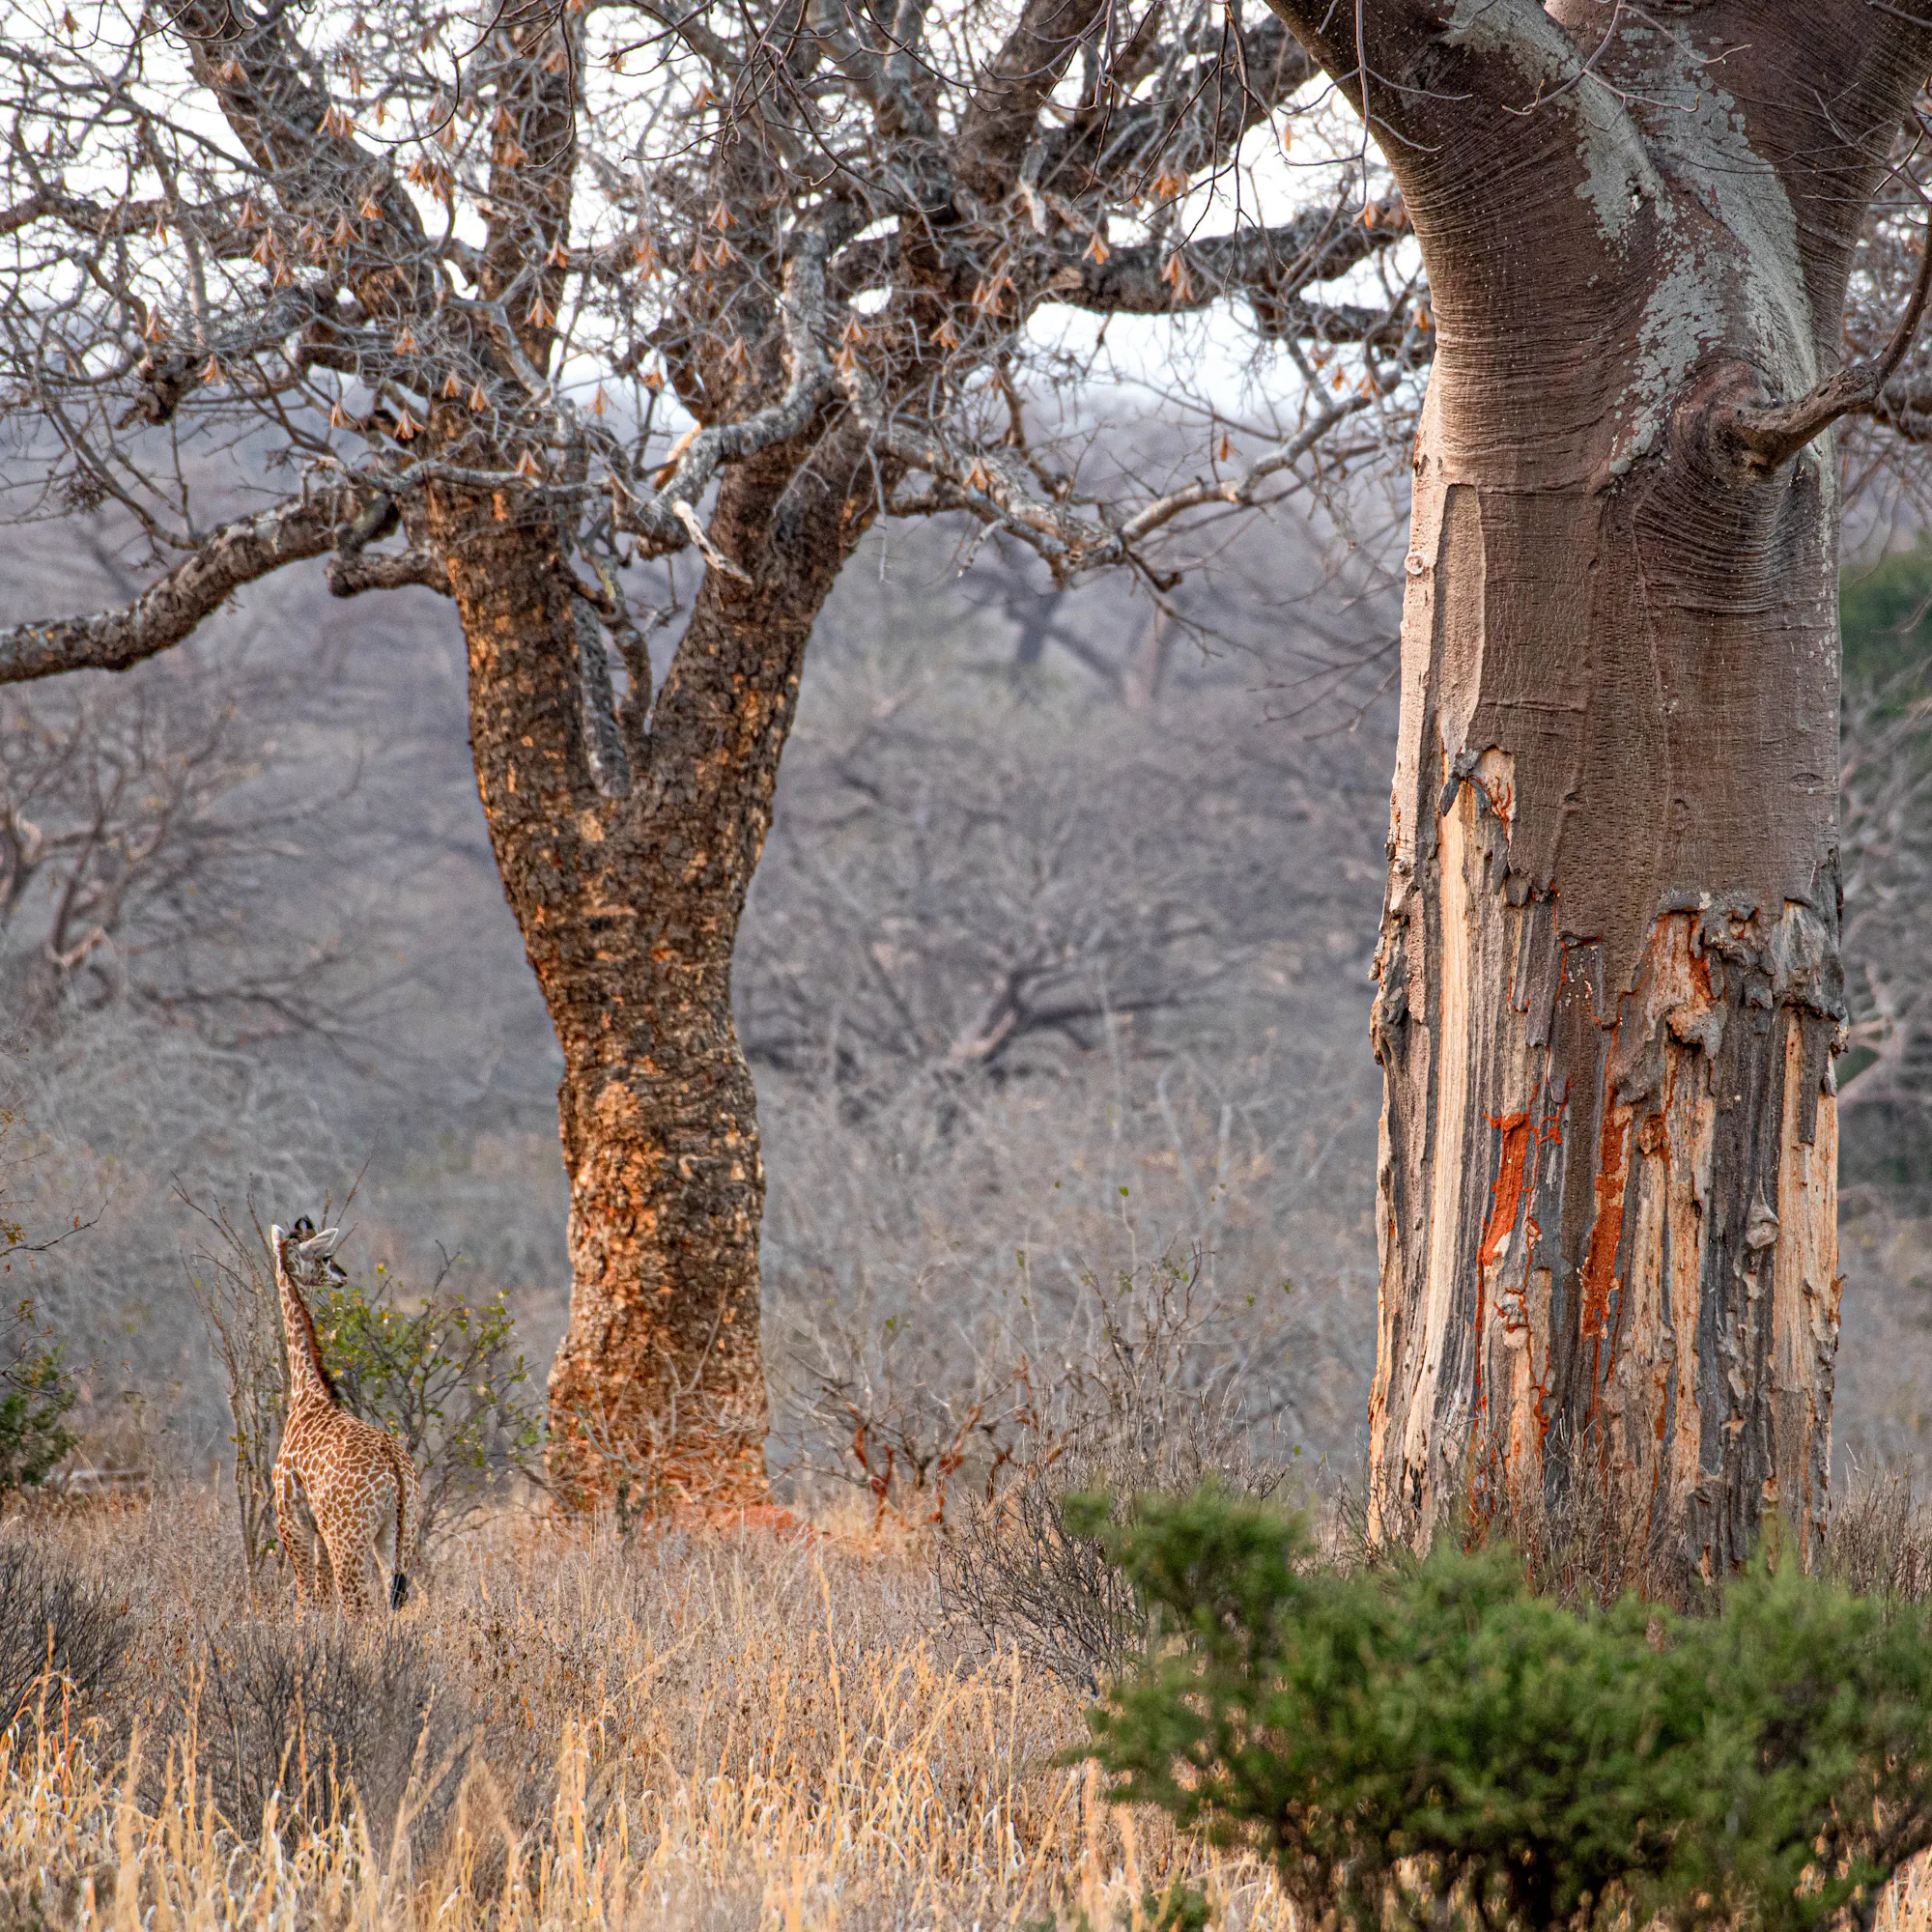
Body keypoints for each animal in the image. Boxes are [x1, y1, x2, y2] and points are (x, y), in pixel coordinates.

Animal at [270, 1218, 421, 1613]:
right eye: (326, 1257)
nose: (342, 1275)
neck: (308, 1392)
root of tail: (396, 1473)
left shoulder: (293, 1523)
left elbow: (306, 1600)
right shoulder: (319, 1532)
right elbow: (322, 1600)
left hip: (347, 1538)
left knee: (360, 1609)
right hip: (398, 1534)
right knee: (395, 1601)